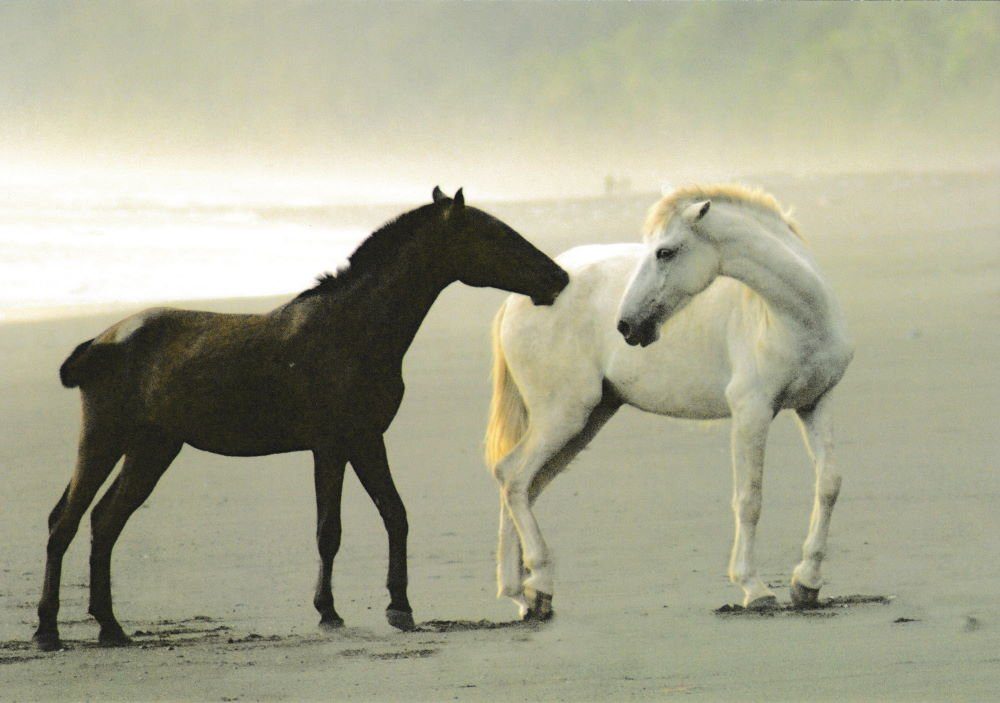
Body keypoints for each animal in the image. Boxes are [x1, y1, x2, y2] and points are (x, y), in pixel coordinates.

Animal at [35, 186, 568, 648]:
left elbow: (394, 514)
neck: (354, 329)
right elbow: (329, 530)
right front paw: (329, 611)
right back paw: (48, 631)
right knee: (66, 521)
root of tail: (100, 340)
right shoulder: (333, 443)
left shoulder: (365, 439)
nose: (557, 278)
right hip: (104, 437)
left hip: (152, 448)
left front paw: (399, 606)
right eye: (494, 234)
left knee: (104, 521)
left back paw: (110, 627)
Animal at [484, 184, 852, 620]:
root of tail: (518, 299)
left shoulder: (818, 403)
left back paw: (525, 593)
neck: (796, 317)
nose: (627, 325)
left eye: (665, 252)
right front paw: (754, 587)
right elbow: (749, 499)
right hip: (563, 416)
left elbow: (828, 485)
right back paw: (536, 585)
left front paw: (807, 582)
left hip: (586, 421)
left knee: (522, 484)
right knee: (514, 478)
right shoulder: (752, 411)